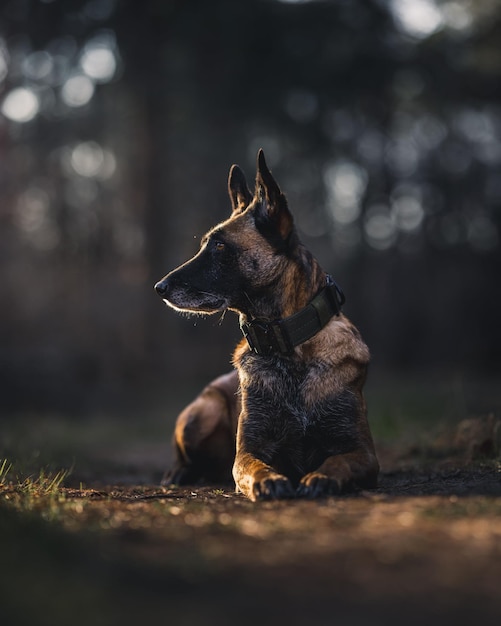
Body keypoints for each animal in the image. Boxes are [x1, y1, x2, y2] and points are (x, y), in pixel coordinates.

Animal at [154, 149, 376, 500]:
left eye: (219, 246)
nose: (159, 288)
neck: (288, 346)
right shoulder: (247, 452)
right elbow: (255, 466)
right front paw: (269, 479)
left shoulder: (363, 452)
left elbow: (339, 461)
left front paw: (323, 476)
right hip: (200, 414)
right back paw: (178, 473)